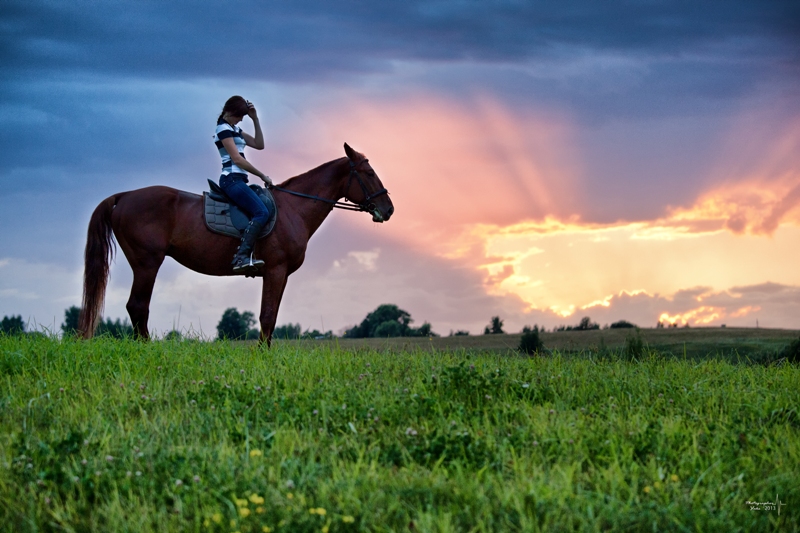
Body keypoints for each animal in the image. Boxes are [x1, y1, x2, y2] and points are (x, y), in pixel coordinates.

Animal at [78, 143, 394, 344]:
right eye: (368, 173)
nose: (388, 209)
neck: (293, 208)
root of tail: (125, 196)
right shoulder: (276, 270)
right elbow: (267, 316)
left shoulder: (278, 274)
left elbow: (271, 317)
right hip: (147, 264)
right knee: (138, 306)